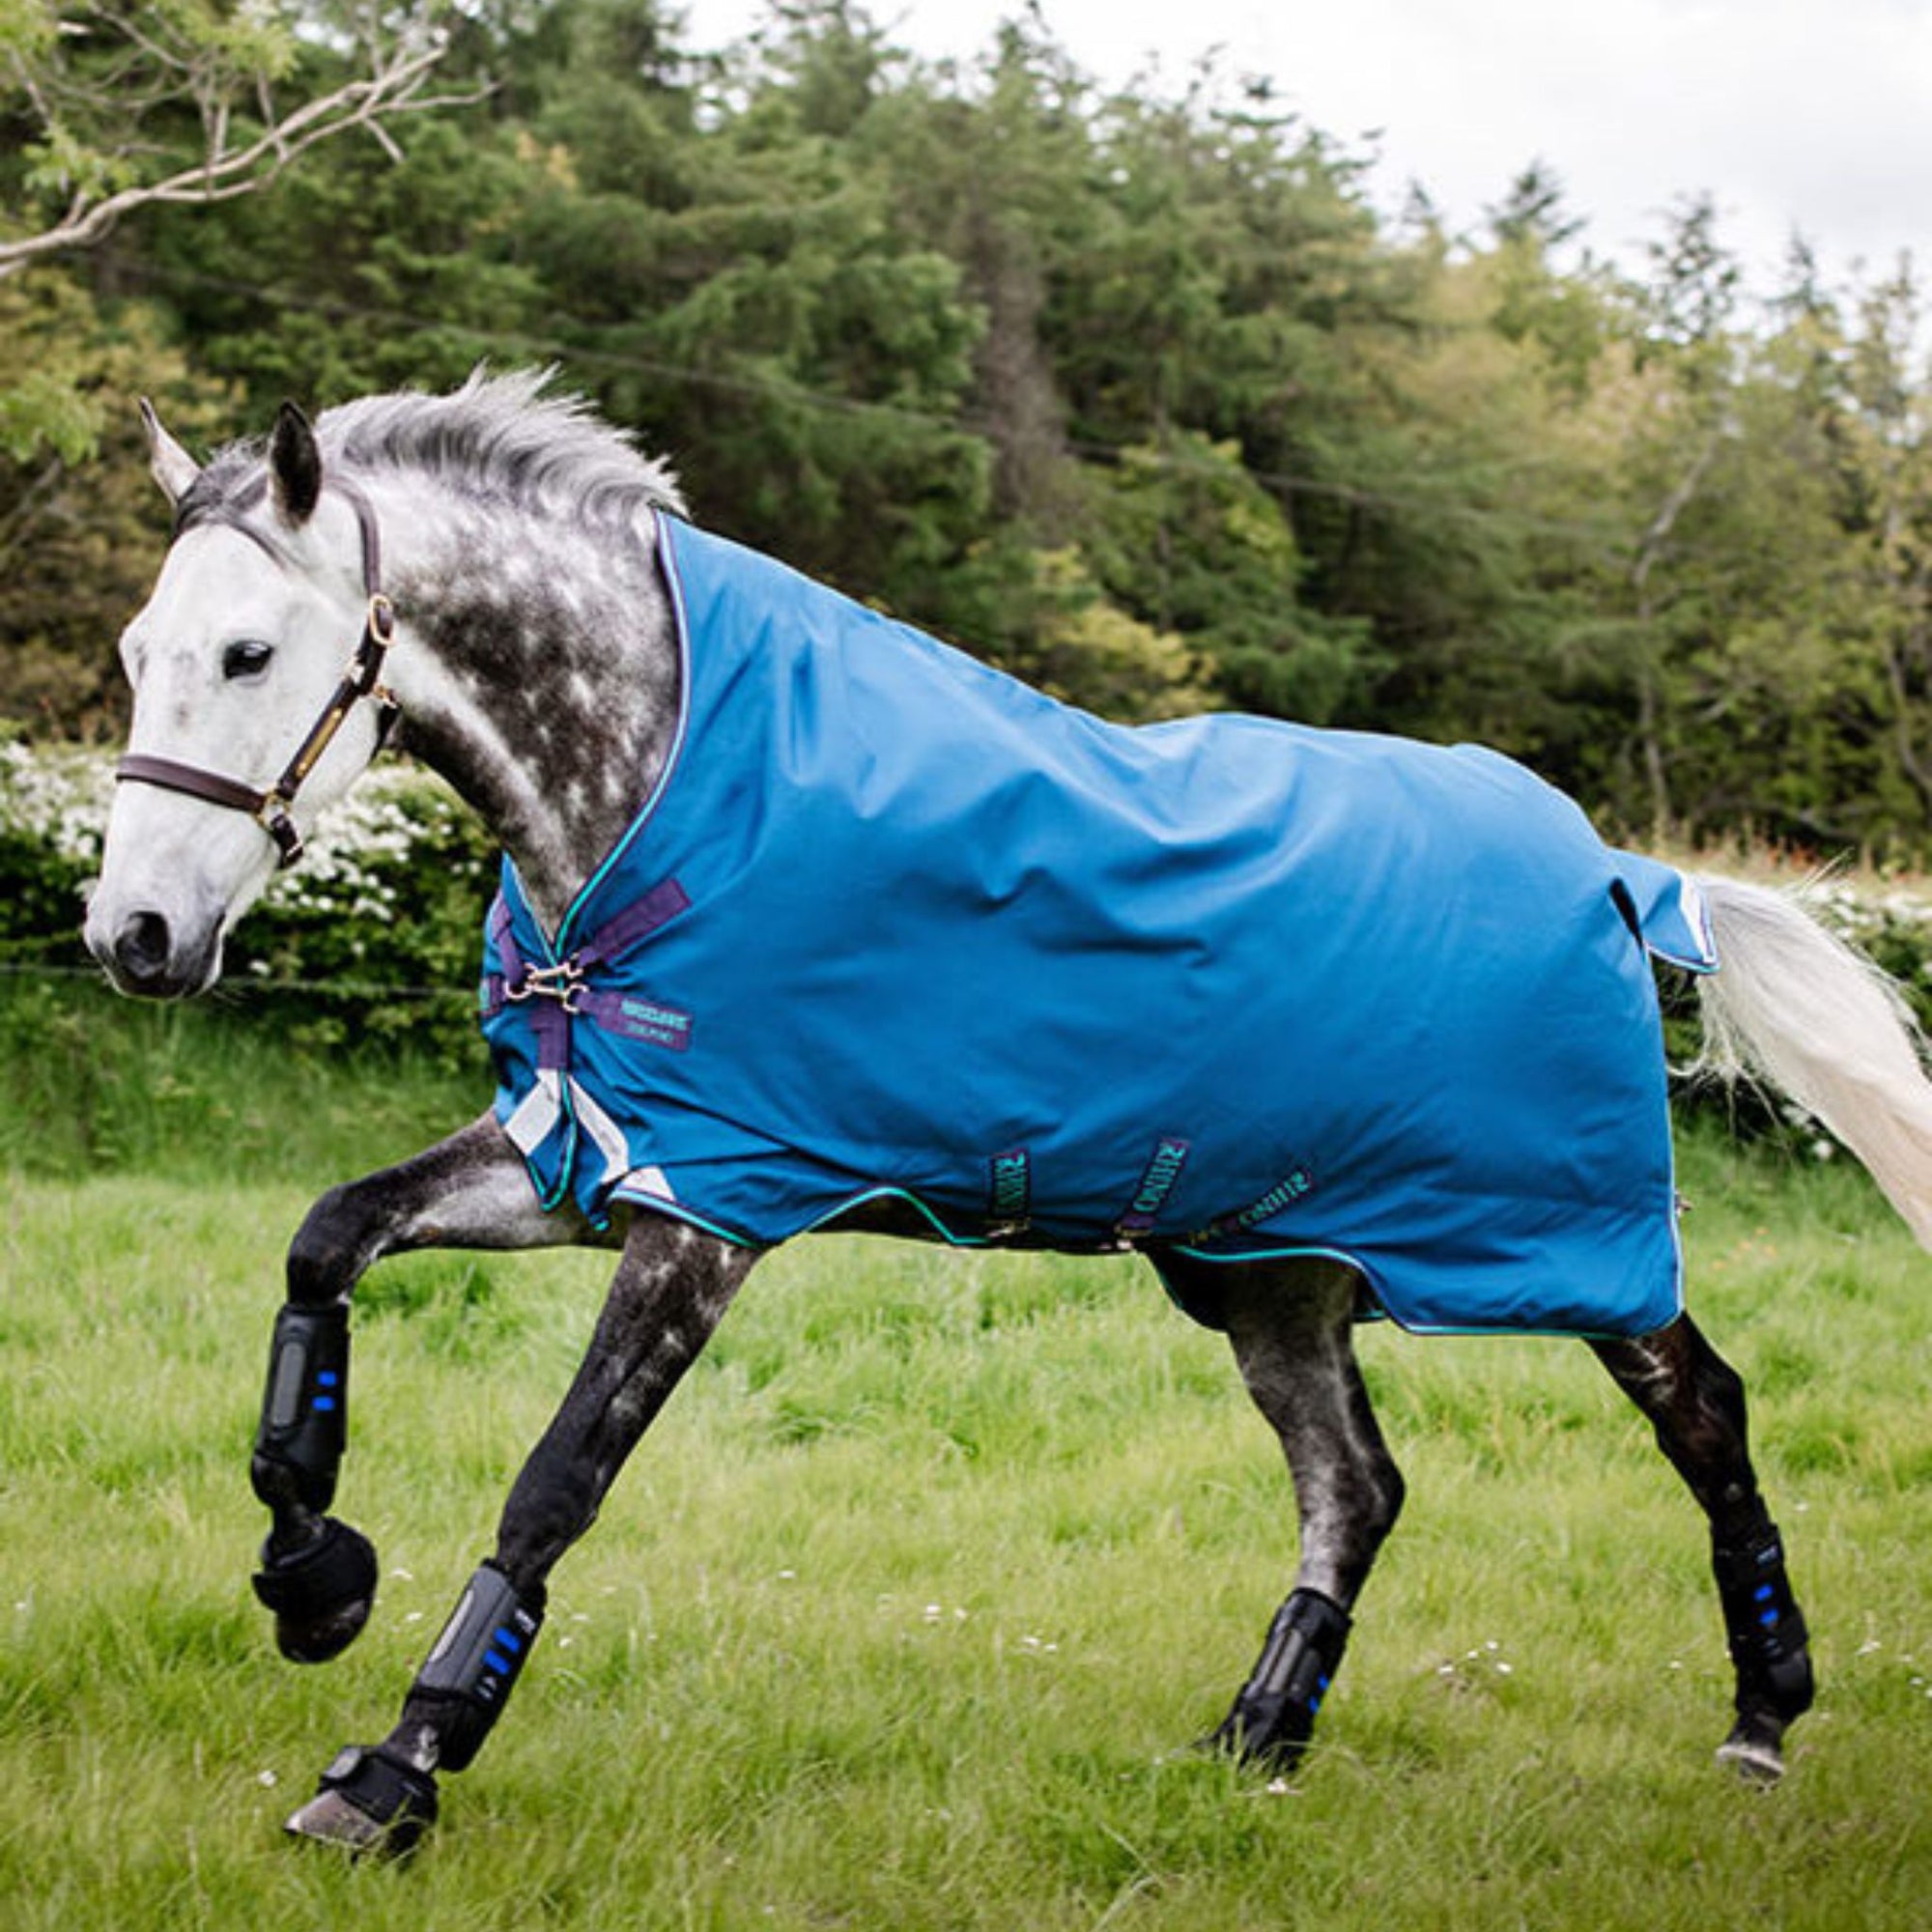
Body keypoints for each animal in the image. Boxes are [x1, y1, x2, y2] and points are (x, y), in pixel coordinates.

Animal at [83, 373, 1932, 1855]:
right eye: (134, 654)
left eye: (249, 653)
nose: (137, 938)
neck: (666, 774)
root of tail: (1620, 867)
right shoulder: (594, 1157)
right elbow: (326, 1241)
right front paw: (310, 1579)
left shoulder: (709, 1214)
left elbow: (556, 1484)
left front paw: (394, 1769)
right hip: (1271, 1269)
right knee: (1357, 1485)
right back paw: (1258, 1737)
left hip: (1552, 1238)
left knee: (1705, 1413)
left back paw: (1764, 1717)